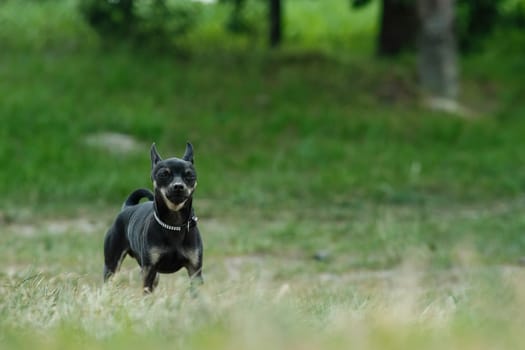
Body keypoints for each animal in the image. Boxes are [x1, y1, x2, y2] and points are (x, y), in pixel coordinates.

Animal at [102, 142, 203, 292]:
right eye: (163, 174)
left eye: (189, 175)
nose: (178, 186)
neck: (174, 224)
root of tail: (127, 207)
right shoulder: (149, 270)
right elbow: (145, 291)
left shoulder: (195, 271)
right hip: (112, 265)